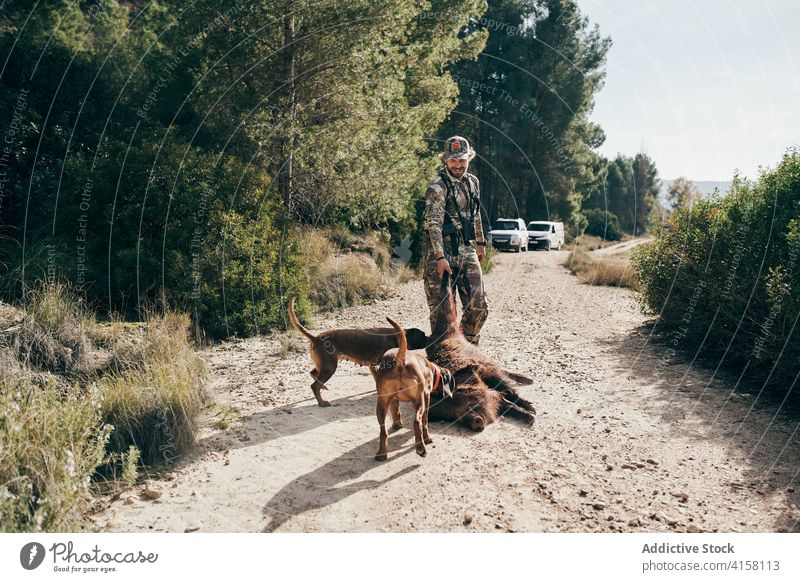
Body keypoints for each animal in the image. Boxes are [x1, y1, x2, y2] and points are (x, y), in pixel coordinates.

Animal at [290, 298, 432, 408]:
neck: (396, 336)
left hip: (323, 366)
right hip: (329, 367)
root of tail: (316, 338)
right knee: (315, 386)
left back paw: (322, 388)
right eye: (423, 335)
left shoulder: (372, 366)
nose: (430, 337)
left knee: (313, 375)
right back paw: (322, 402)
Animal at [370, 318, 454, 464]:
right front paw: (427, 438)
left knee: (383, 431)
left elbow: (396, 412)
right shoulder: (426, 397)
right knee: (417, 423)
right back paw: (421, 448)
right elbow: (425, 422)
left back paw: (382, 454)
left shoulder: (393, 400)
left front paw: (397, 426)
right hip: (418, 401)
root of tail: (400, 359)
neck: (431, 368)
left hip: (381, 403)